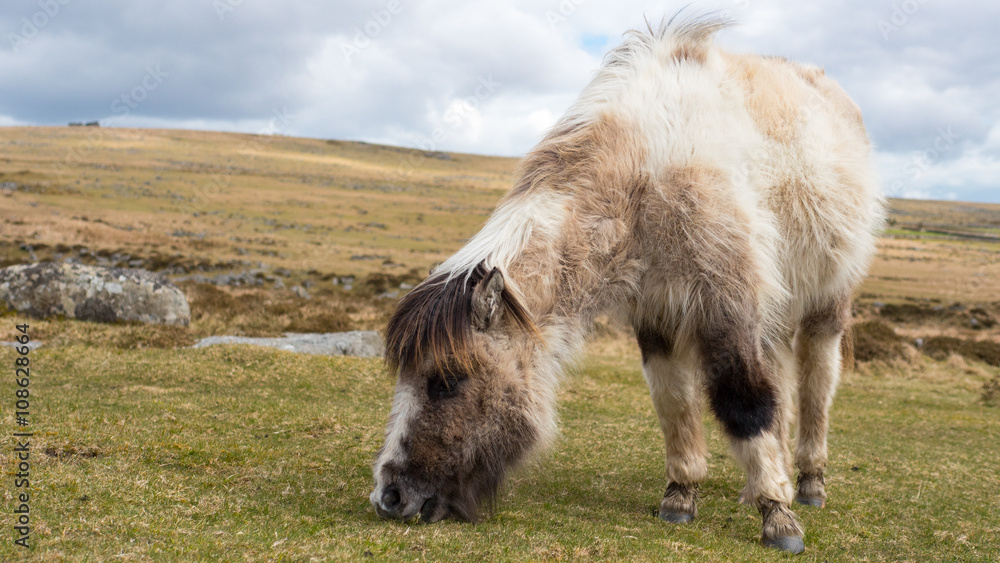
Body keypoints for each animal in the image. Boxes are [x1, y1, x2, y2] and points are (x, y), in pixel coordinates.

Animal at [370, 16, 884, 554]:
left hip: (825, 306)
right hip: (776, 312)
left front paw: (778, 517)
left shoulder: (727, 304)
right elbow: (673, 401)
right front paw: (681, 496)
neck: (645, 172)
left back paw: (807, 484)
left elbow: (744, 400)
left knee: (815, 384)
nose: (389, 496)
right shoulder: (657, 313)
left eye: (447, 381)